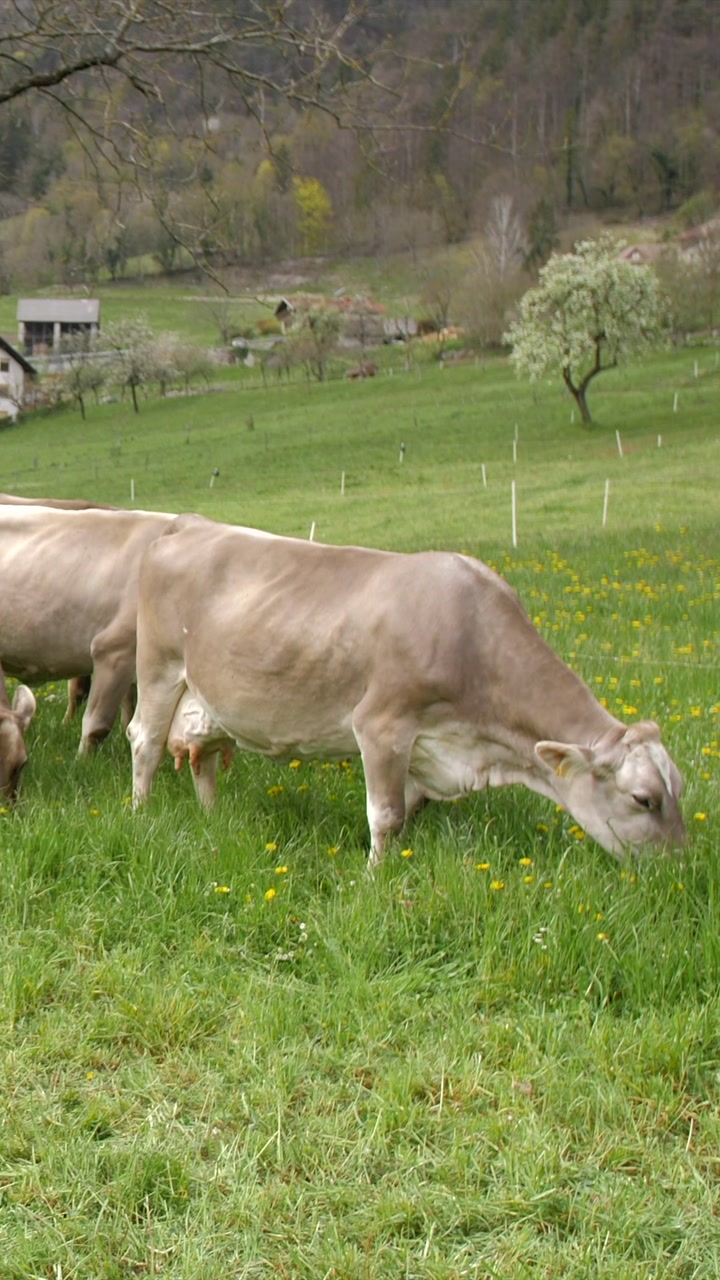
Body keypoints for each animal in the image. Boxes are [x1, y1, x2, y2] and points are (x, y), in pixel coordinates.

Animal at [128, 514, 686, 865]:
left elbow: (410, 811)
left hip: (207, 697)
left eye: (679, 790)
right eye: (643, 799)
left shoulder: (427, 746)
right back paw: (139, 812)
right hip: (158, 667)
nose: (680, 867)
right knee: (145, 740)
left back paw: (213, 818)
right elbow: (387, 815)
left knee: (203, 755)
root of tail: (191, 524)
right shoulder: (381, 725)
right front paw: (375, 878)